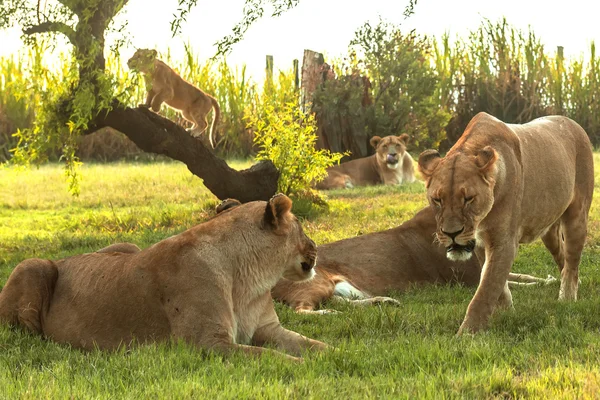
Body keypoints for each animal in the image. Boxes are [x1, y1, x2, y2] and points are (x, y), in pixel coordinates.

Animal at [0, 195, 328, 360]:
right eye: (301, 226)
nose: (316, 245)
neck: (253, 282)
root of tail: (63, 259)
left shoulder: (269, 329)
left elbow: (313, 345)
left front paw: (335, 356)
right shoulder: (208, 344)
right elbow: (271, 357)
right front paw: (304, 367)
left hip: (127, 246)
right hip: (32, 265)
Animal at [418, 112, 596, 334]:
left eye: (468, 199)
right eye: (437, 200)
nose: (452, 233)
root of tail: (573, 123)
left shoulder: (504, 242)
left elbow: (486, 289)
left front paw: (466, 334)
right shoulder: (480, 242)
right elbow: (495, 282)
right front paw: (507, 312)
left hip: (577, 217)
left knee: (572, 262)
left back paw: (567, 299)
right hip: (549, 232)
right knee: (563, 258)